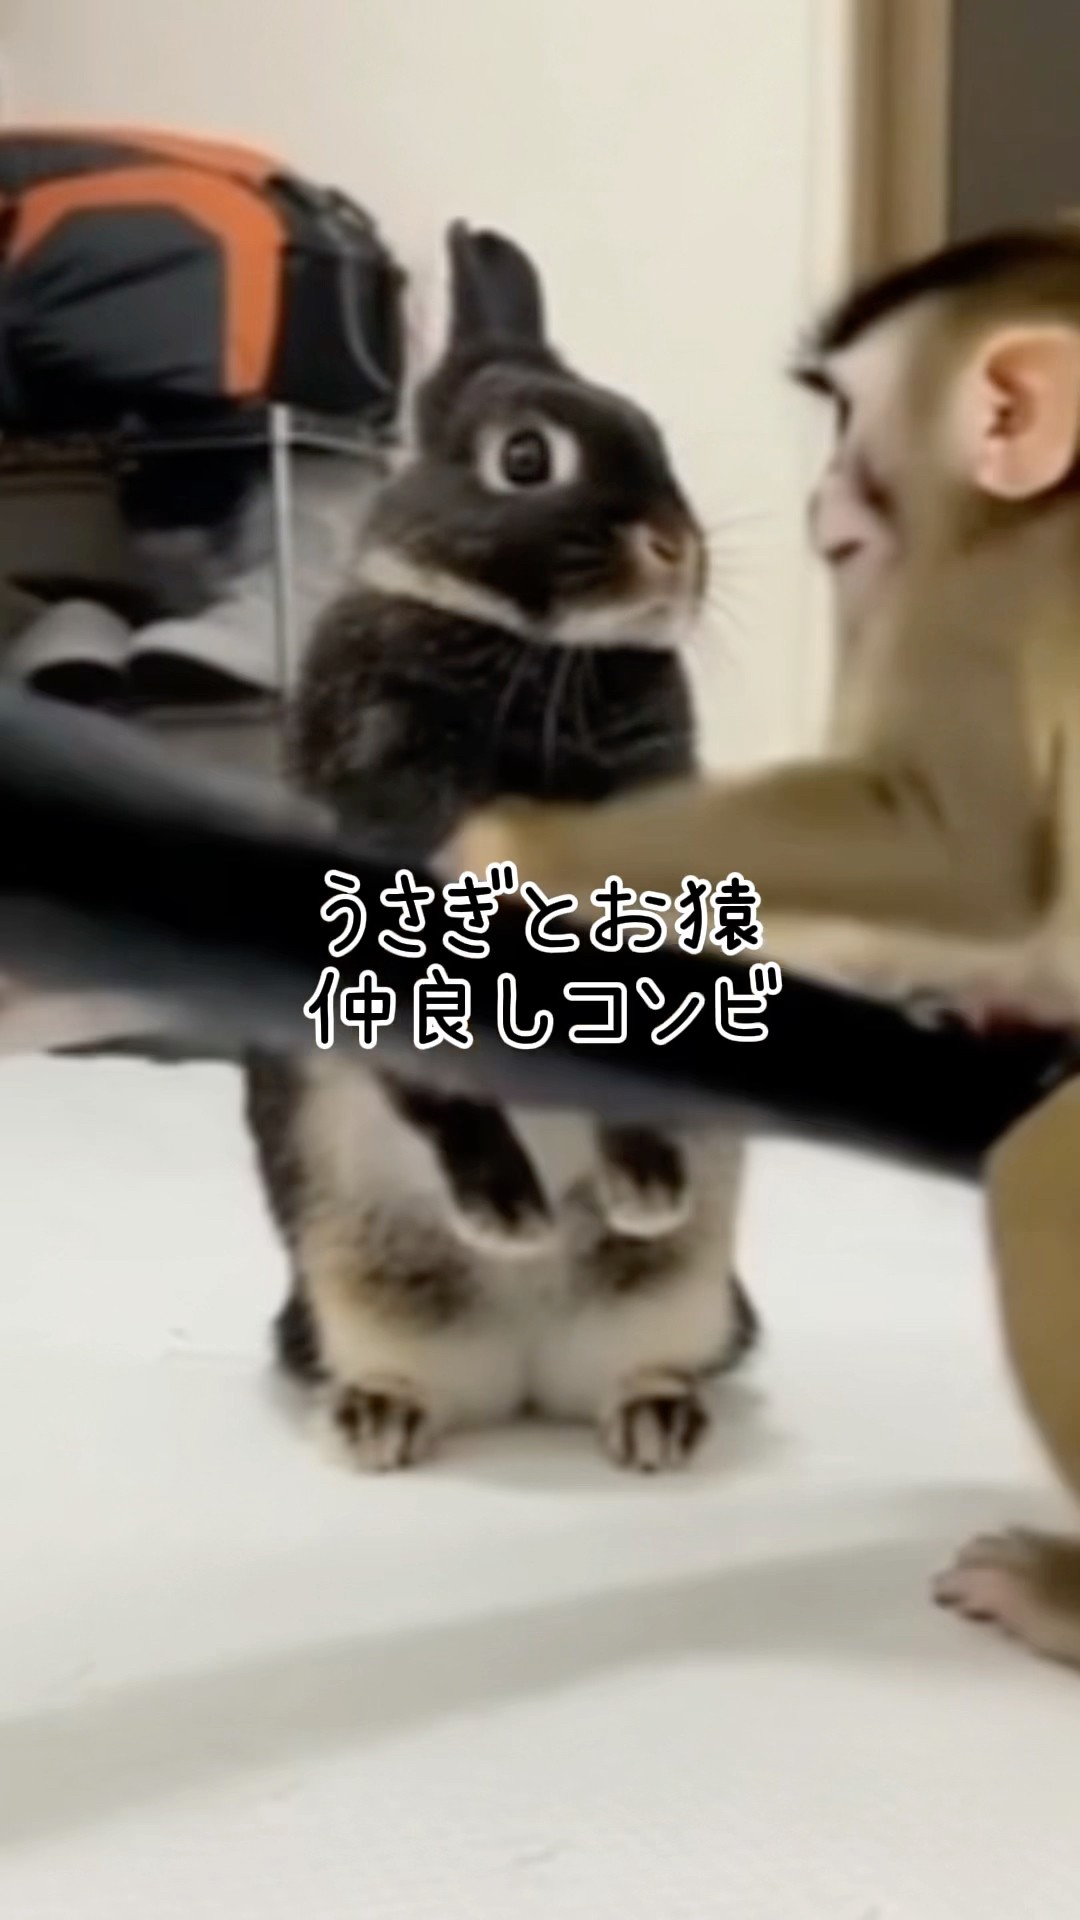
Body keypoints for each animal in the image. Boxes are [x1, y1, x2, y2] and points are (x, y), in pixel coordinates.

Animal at [244, 221, 759, 1472]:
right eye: (526, 459)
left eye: (651, 430)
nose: (674, 550)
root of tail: (526, 1368)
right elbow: (436, 1083)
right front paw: (507, 1210)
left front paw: (644, 1189)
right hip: (355, 1267)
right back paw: (385, 1410)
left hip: (665, 1295)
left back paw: (653, 1409)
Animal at [450, 221, 1080, 1669]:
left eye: (851, 419)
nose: (821, 505)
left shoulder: (976, 595)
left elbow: (956, 851)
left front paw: (525, 850)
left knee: (1038, 1185)